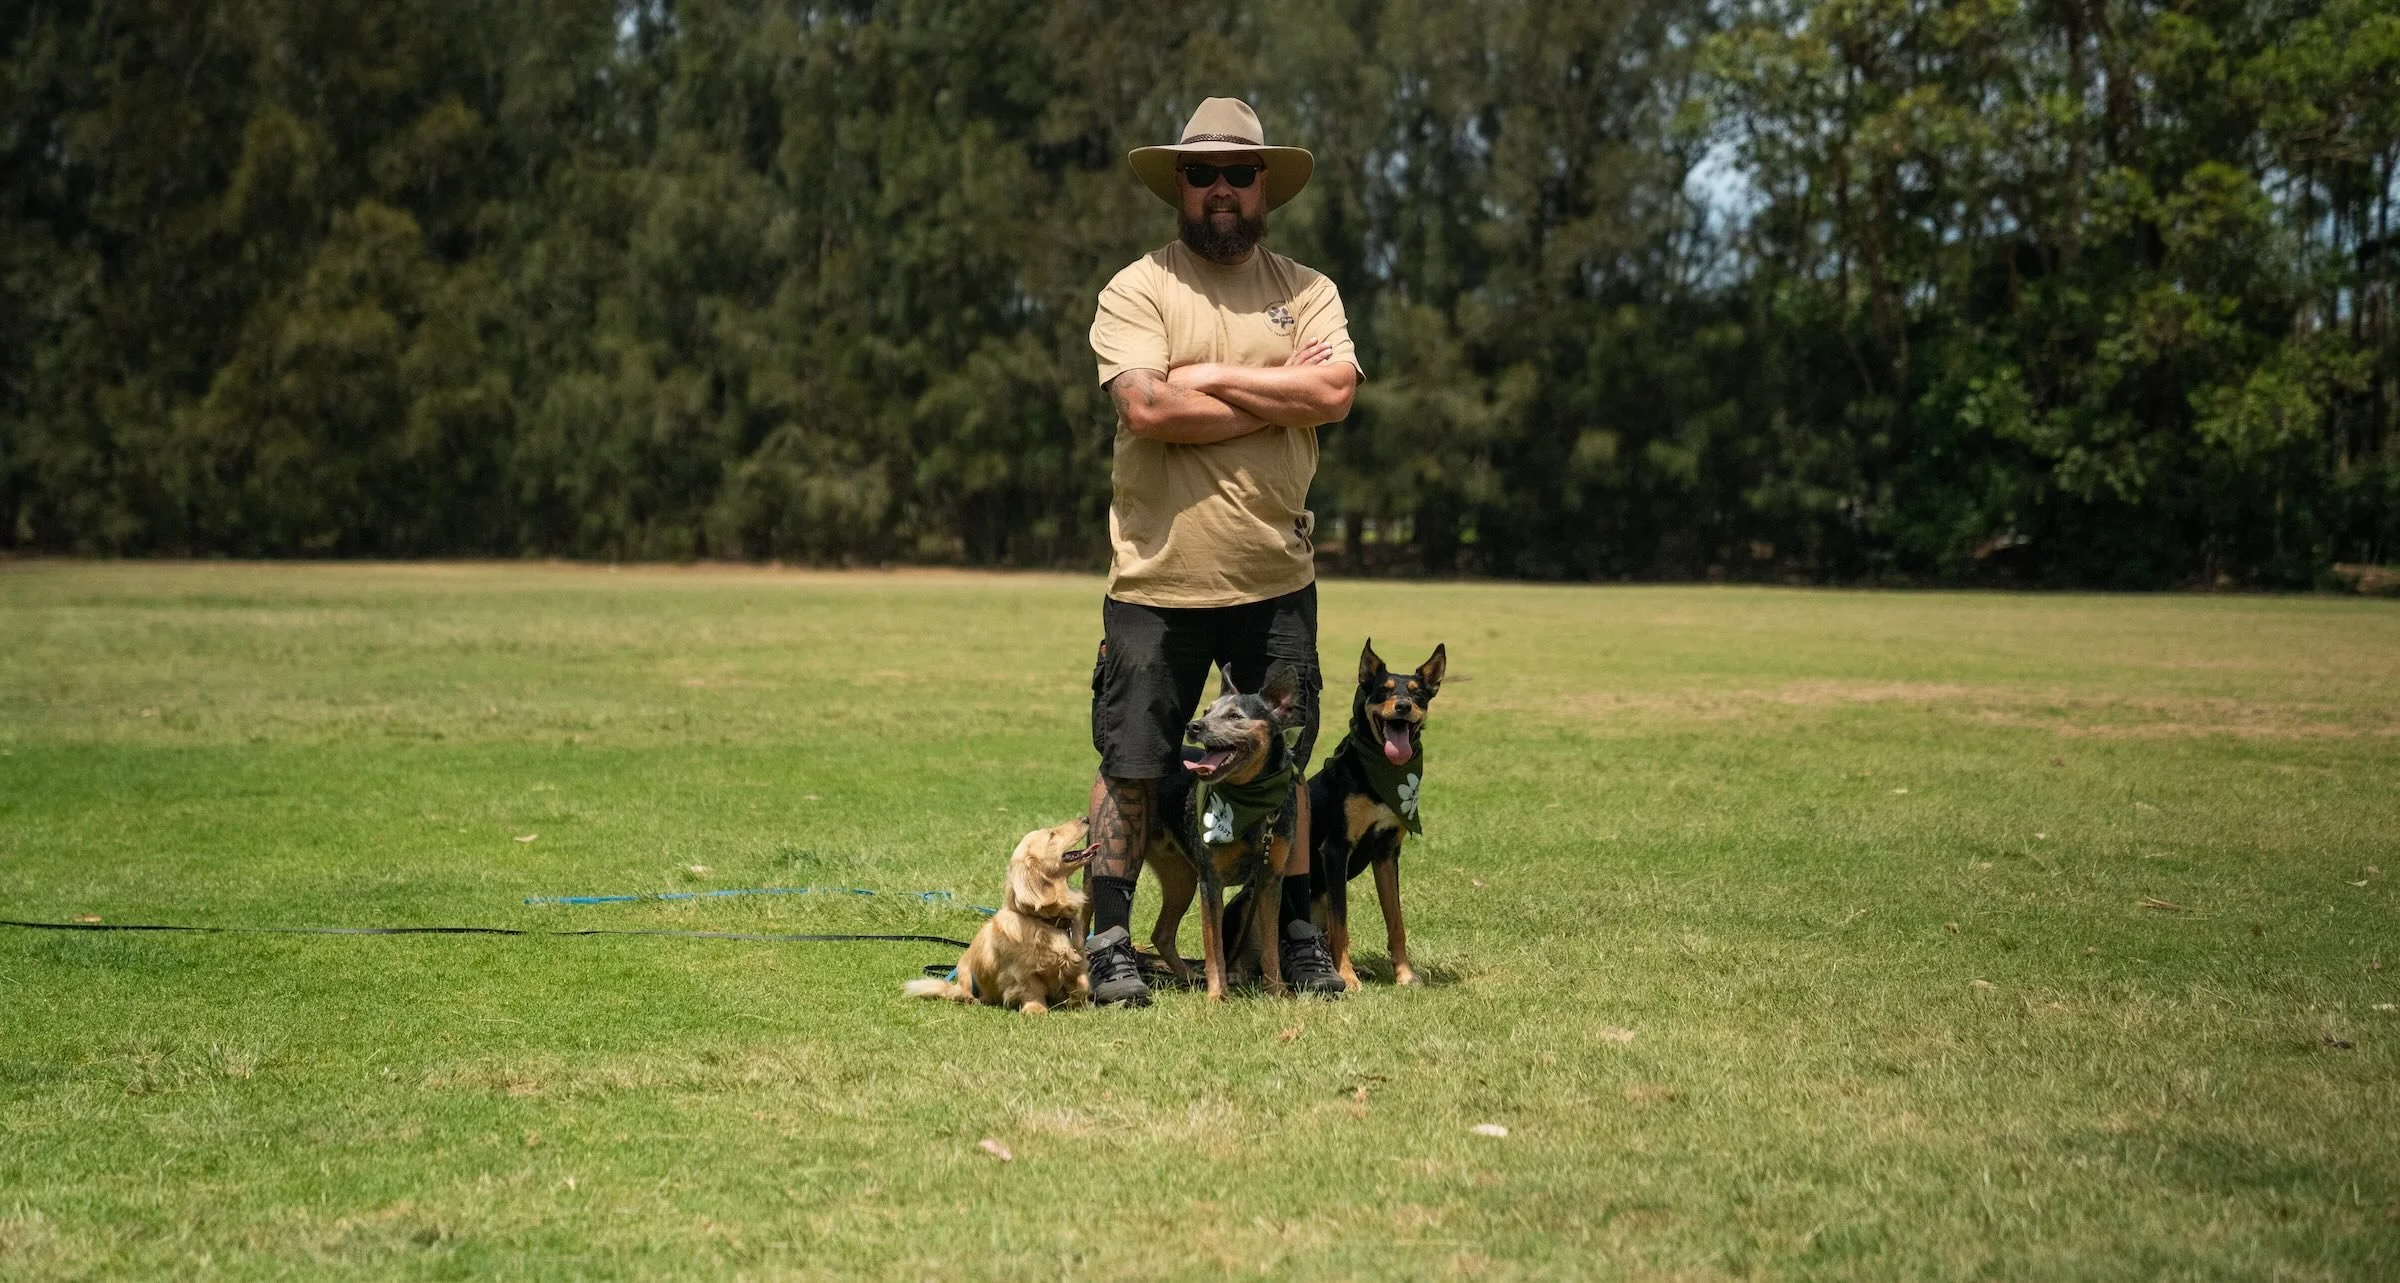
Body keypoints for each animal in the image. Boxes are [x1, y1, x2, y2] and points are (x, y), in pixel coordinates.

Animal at [904, 817, 1093, 1013]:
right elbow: (1031, 988)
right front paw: (1035, 1009)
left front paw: (1081, 1003)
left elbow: (1082, 982)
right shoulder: (1021, 971)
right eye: (1052, 835)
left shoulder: (1077, 959)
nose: (1085, 818)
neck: (1047, 921)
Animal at [1141, 662, 1306, 1000]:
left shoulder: (1270, 880)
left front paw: (1277, 991)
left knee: (1162, 933)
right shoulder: (1211, 882)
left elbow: (1270, 944)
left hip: (1181, 878)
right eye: (1206, 710)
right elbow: (1214, 946)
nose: (1193, 726)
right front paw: (1218, 995)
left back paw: (1188, 977)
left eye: (1235, 716)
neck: (1251, 802)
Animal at [1306, 639, 1444, 989]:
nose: (1403, 707)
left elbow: (1396, 920)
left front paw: (1405, 974)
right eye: (1383, 690)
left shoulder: (1387, 851)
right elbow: (1342, 925)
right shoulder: (1335, 850)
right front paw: (1347, 978)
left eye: (1418, 694)